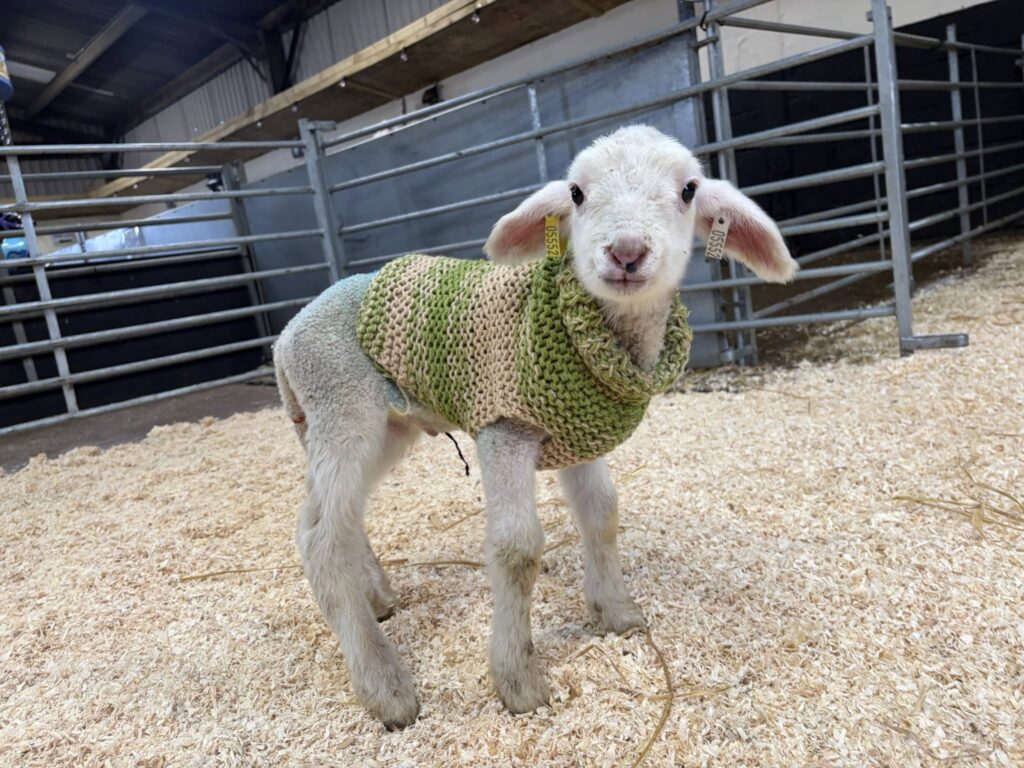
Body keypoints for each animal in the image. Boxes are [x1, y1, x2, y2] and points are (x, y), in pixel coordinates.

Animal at [273, 124, 797, 729]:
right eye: (575, 193)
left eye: (688, 190)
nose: (626, 253)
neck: (581, 334)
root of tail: (284, 339)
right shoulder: (505, 430)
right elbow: (517, 548)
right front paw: (518, 681)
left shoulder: (579, 433)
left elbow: (602, 515)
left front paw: (617, 612)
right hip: (344, 411)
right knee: (319, 540)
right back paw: (385, 685)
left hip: (381, 425)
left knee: (330, 517)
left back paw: (377, 599)